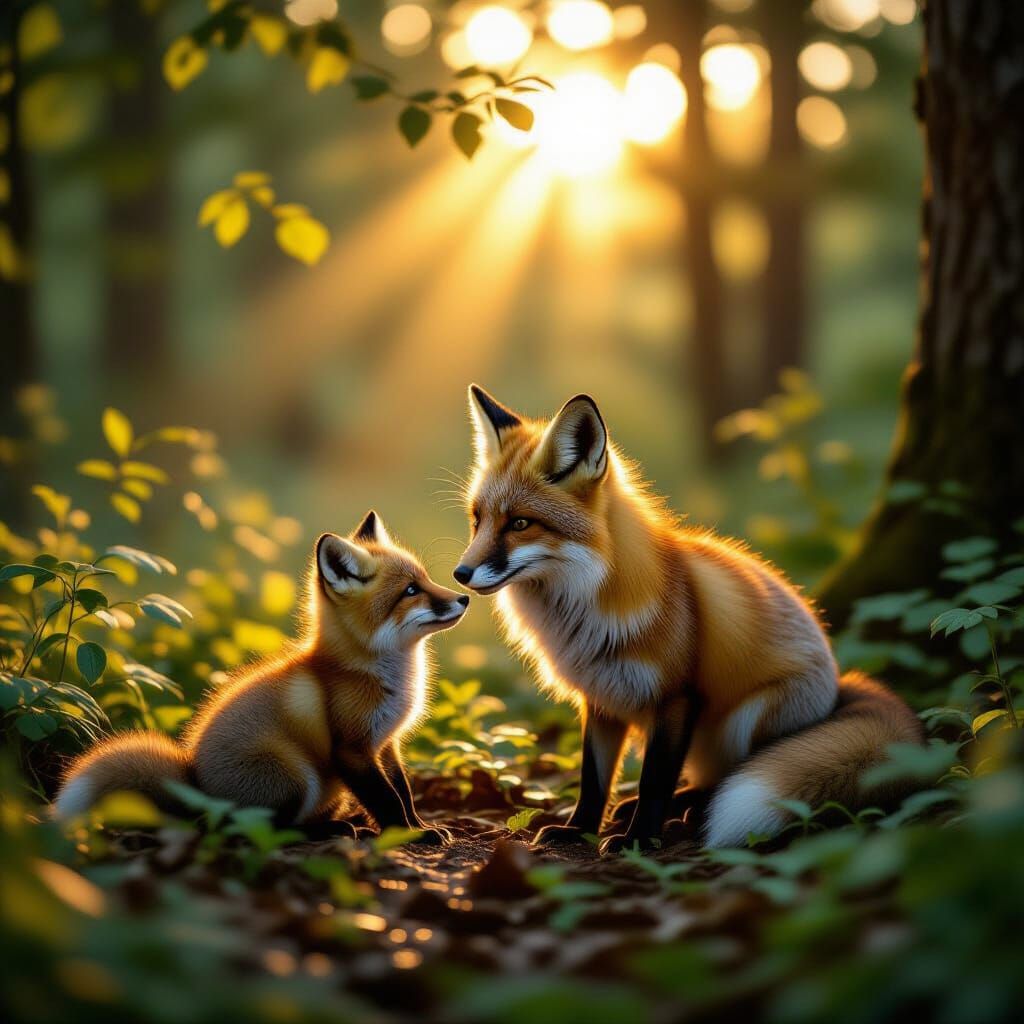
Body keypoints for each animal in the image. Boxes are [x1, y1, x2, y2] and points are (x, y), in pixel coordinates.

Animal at [54, 512, 468, 844]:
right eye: (410, 590)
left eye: (426, 579)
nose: (464, 598)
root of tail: (198, 789)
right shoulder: (352, 749)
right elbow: (387, 801)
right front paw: (409, 836)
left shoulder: (386, 743)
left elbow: (404, 792)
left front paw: (421, 827)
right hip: (295, 776)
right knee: (248, 827)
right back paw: (329, 830)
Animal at [454, 385, 923, 852]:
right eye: (478, 521)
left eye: (520, 523)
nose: (460, 574)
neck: (582, 610)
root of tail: (840, 686)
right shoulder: (601, 697)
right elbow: (594, 779)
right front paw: (579, 830)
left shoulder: (677, 697)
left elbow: (654, 782)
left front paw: (640, 839)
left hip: (747, 718)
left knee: (732, 774)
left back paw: (692, 812)